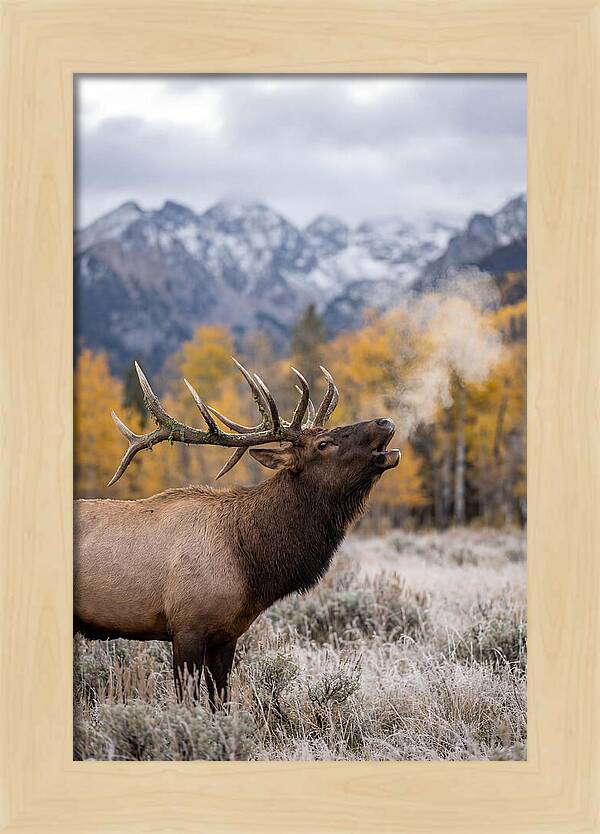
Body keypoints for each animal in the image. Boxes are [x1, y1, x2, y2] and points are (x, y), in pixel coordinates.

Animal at [74, 359, 400, 708]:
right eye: (323, 444)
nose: (385, 421)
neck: (249, 565)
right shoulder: (186, 626)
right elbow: (188, 703)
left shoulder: (227, 635)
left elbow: (222, 701)